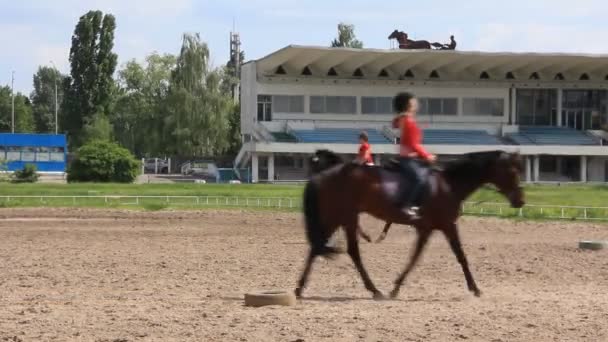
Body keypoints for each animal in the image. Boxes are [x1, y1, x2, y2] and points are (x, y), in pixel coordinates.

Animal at [296, 150, 524, 300]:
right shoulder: (448, 225)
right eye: (513, 172)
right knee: (345, 251)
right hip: (343, 217)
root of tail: (323, 174)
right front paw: (475, 288)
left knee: (321, 248)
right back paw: (373, 290)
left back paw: (300, 288)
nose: (520, 201)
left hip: (342, 218)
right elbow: (460, 256)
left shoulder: (426, 229)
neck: (447, 184)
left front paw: (396, 287)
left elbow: (415, 257)